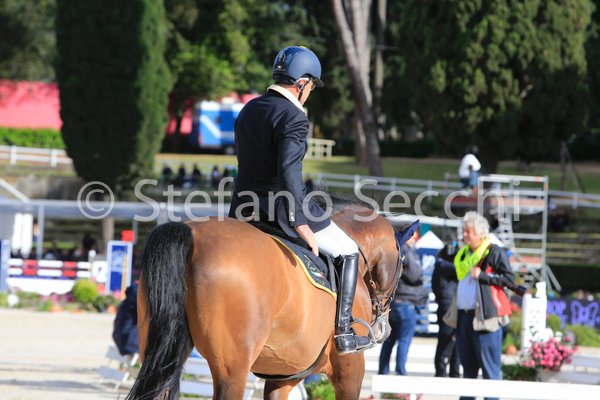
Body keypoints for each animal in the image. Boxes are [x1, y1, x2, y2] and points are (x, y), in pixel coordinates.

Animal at [126, 201, 417, 400]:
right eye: (403, 263)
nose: (384, 328)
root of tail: (191, 233)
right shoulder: (350, 368)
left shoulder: (282, 376)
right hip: (231, 370)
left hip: (161, 352)